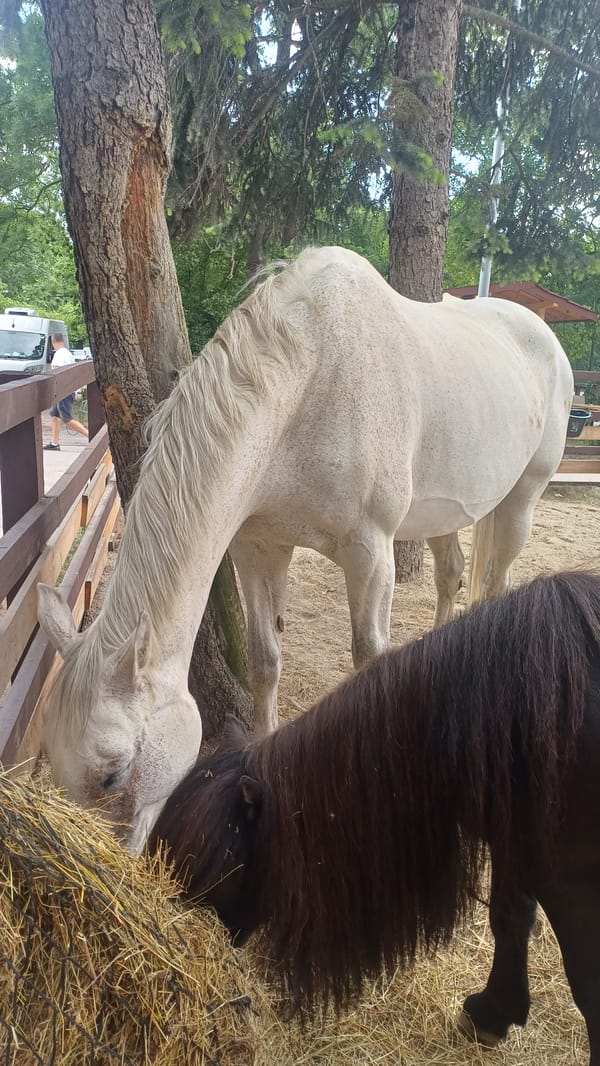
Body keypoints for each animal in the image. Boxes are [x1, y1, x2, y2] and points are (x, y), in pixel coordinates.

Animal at [37, 246, 573, 854]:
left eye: (113, 774)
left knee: (497, 579)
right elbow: (266, 659)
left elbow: (367, 657)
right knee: (451, 575)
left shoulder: (371, 554)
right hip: (447, 512)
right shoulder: (258, 547)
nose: (114, 867)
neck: (312, 380)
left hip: (522, 499)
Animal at [150, 570, 600, 1064]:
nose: (194, 948)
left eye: (219, 864)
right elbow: (510, 917)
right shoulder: (517, 846)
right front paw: (493, 1013)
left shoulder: (571, 886)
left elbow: (587, 989)